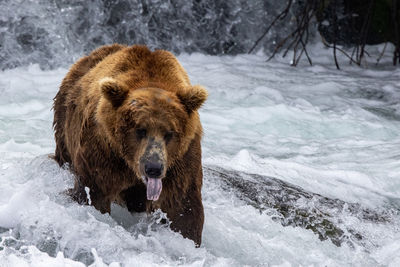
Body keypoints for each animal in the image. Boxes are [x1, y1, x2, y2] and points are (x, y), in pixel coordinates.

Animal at [52, 44, 208, 247]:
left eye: (169, 133)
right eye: (140, 130)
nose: (153, 168)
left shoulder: (181, 161)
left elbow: (183, 208)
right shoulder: (103, 150)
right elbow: (93, 192)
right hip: (65, 122)